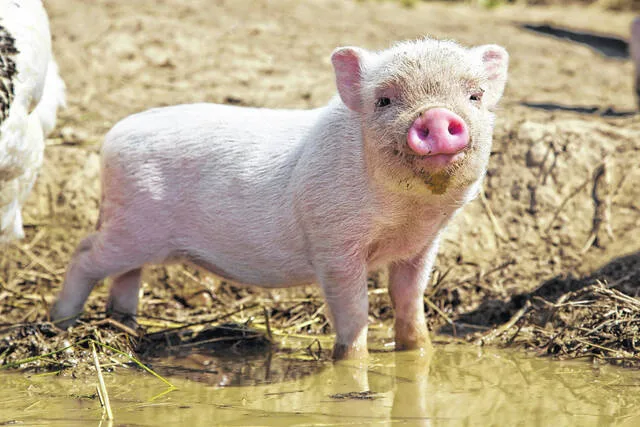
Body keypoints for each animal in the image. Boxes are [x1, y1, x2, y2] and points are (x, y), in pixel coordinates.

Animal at [50, 37, 509, 360]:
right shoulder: (333, 242)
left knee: (127, 276)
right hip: (131, 224)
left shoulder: (422, 244)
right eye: (384, 99)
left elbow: (409, 300)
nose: (437, 115)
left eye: (475, 96)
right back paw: (61, 322)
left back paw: (128, 327)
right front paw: (351, 362)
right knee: (85, 253)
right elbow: (354, 309)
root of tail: (113, 136)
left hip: (138, 234)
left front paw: (420, 352)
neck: (406, 215)